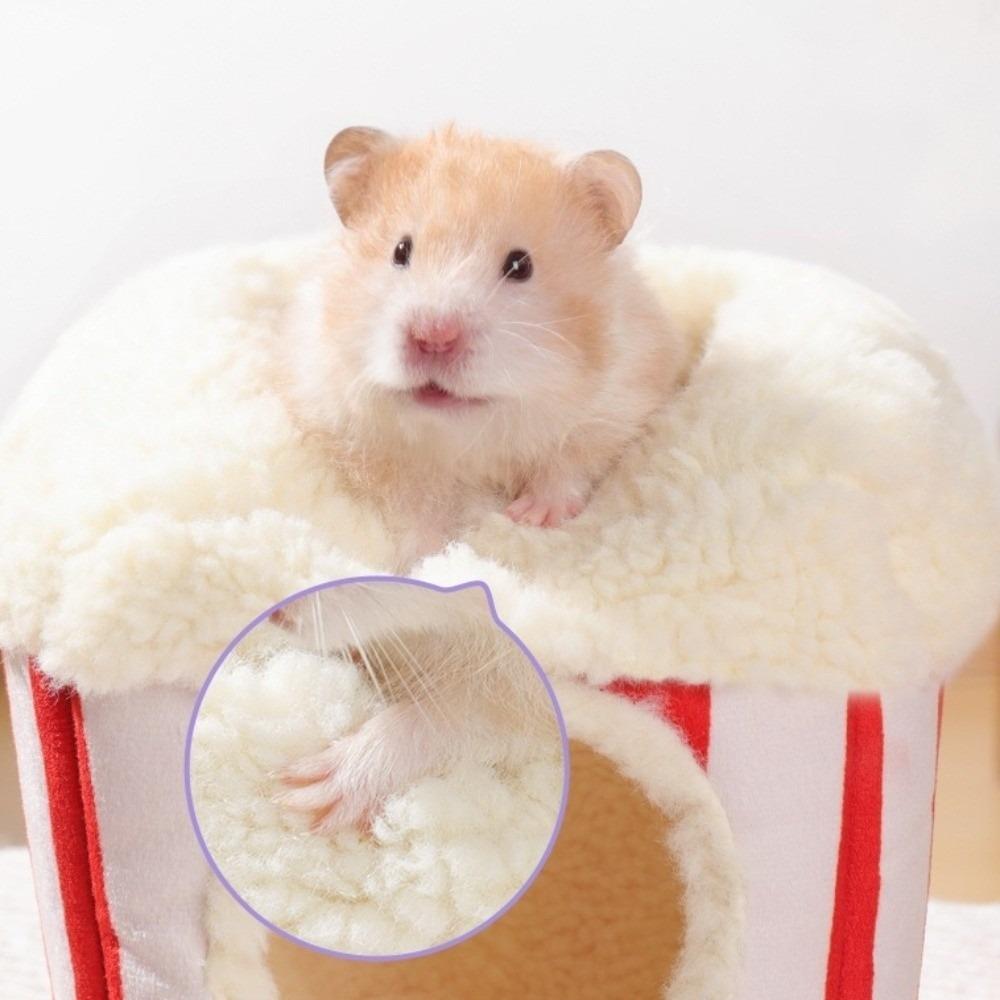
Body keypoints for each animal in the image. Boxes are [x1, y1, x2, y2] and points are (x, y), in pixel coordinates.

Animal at [278, 124, 684, 566]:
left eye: (520, 265)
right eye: (400, 251)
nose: (433, 336)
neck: (468, 438)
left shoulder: (618, 405)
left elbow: (570, 463)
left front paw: (531, 517)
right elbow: (415, 507)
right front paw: (424, 558)